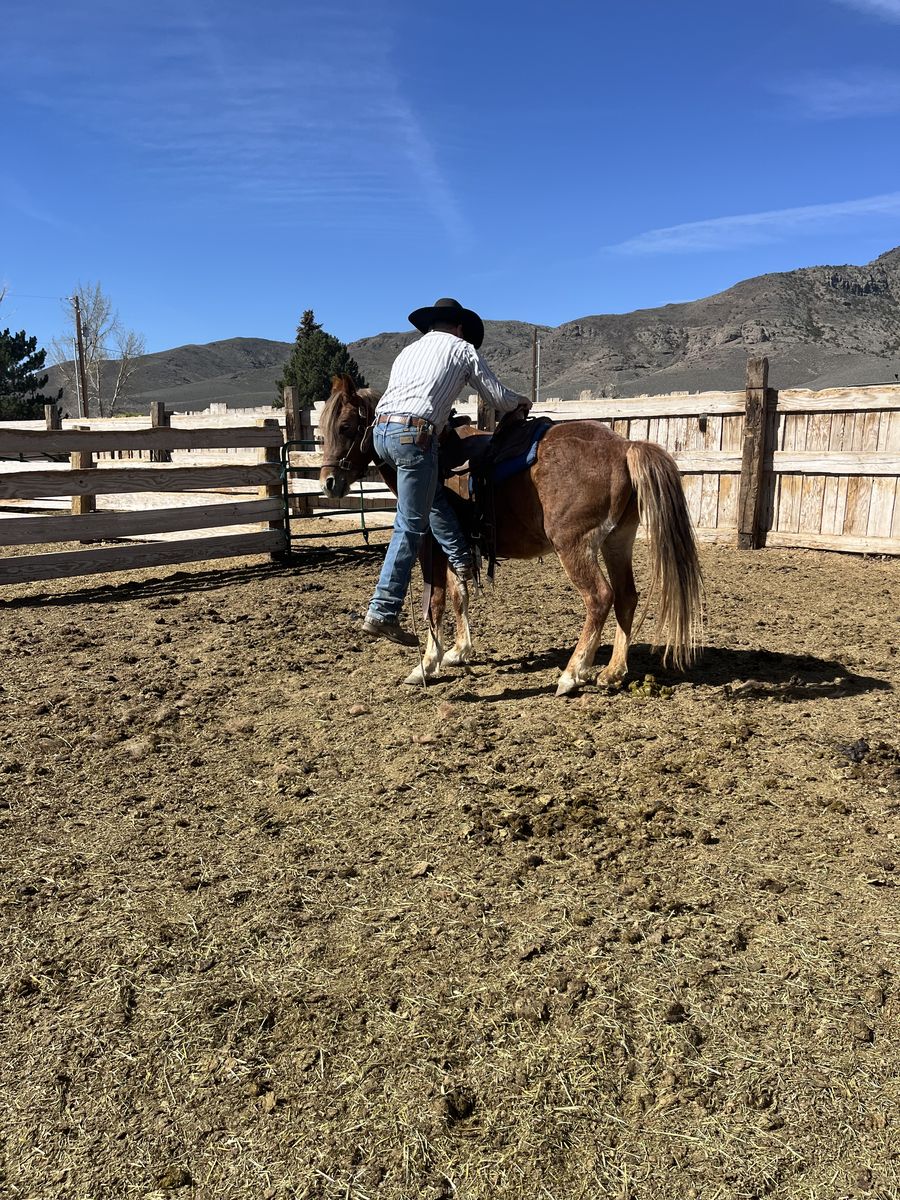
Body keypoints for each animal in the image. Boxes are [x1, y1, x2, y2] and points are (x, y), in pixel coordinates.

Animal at [318, 374, 703, 697]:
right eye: (322, 430)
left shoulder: (430, 542)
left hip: (575, 546)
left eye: (347, 426)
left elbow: (437, 601)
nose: (329, 483)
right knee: (626, 597)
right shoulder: (457, 546)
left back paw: (572, 674)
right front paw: (459, 651)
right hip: (616, 542)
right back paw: (613, 671)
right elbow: (459, 595)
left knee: (599, 598)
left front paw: (427, 663)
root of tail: (624, 448)